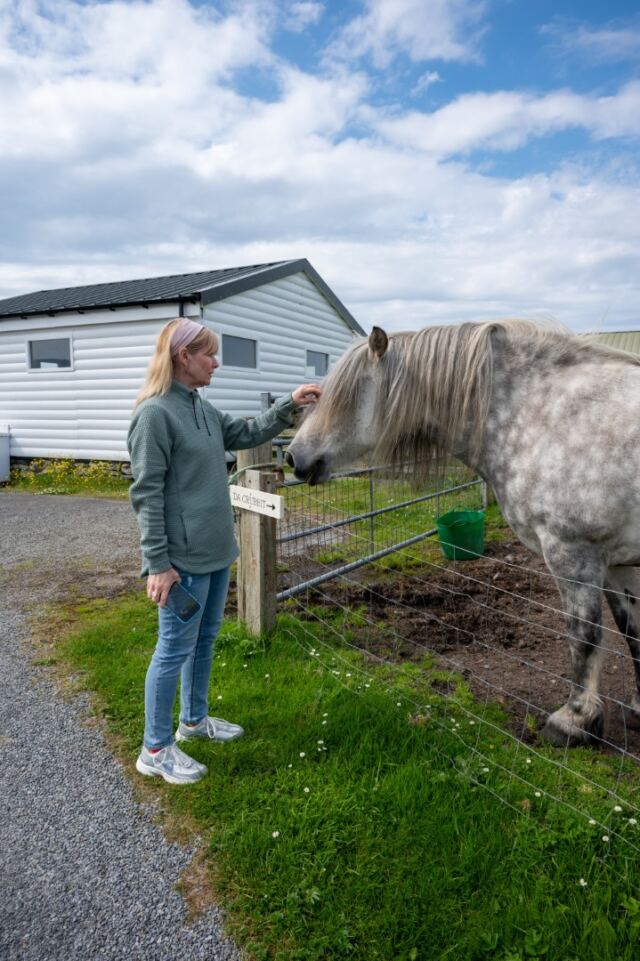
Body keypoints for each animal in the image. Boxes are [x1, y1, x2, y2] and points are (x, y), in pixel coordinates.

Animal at [285, 319, 640, 748]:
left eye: (346, 397)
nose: (293, 456)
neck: (545, 416)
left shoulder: (573, 553)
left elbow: (583, 635)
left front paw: (574, 721)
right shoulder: (618, 563)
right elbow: (633, 633)